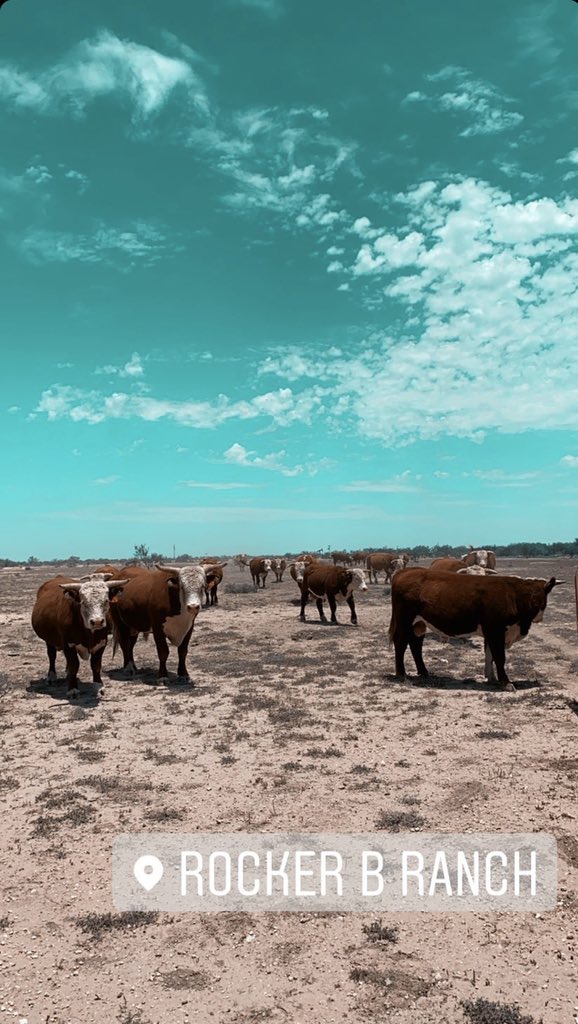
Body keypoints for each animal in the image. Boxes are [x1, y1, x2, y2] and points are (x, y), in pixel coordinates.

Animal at [388, 567, 562, 689]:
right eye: (533, 597)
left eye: (540, 596)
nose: (538, 615)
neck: (514, 595)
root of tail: (405, 571)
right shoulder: (495, 630)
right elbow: (499, 657)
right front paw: (506, 682)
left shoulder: (491, 632)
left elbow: (489, 655)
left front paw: (491, 678)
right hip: (405, 620)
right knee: (401, 643)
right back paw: (402, 674)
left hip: (419, 624)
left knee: (415, 645)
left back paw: (424, 672)